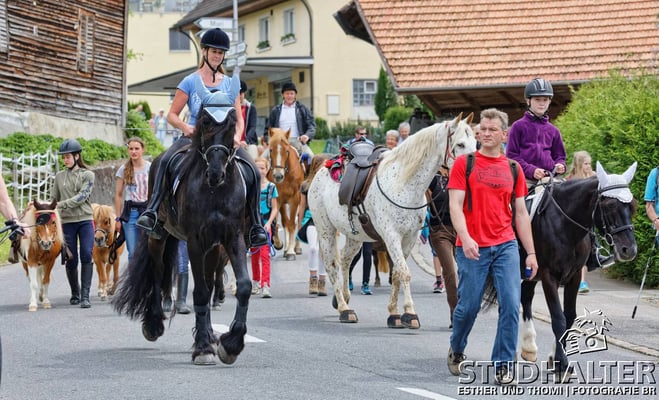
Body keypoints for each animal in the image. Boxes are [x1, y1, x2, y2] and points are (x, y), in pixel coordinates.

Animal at [113, 77, 252, 365]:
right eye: (205, 121)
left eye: (232, 122)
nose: (216, 173)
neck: (215, 191)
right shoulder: (196, 241)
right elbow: (199, 292)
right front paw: (203, 348)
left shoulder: (232, 237)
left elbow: (243, 286)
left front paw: (230, 344)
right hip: (159, 236)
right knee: (157, 274)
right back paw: (154, 324)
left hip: (213, 247)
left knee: (208, 281)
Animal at [266, 127, 305, 260]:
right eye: (271, 150)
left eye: (286, 151)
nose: (278, 176)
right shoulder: (279, 199)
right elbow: (282, 222)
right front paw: (280, 244)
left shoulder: (295, 198)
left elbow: (292, 223)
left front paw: (291, 251)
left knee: (297, 220)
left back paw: (296, 248)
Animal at [307, 114, 477, 327]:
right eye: (460, 144)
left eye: (476, 143)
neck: (403, 183)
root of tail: (323, 168)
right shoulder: (392, 236)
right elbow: (404, 272)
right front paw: (410, 312)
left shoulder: (409, 238)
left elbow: (396, 273)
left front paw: (394, 313)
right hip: (325, 231)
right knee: (332, 265)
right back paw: (345, 309)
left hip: (355, 236)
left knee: (345, 260)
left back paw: (343, 299)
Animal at [484, 161, 638, 379]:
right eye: (608, 205)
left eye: (632, 205)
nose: (629, 250)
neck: (564, 225)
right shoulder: (549, 276)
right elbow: (558, 318)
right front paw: (561, 363)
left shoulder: (574, 276)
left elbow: (569, 317)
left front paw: (556, 358)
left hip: (531, 274)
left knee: (525, 296)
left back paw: (529, 347)